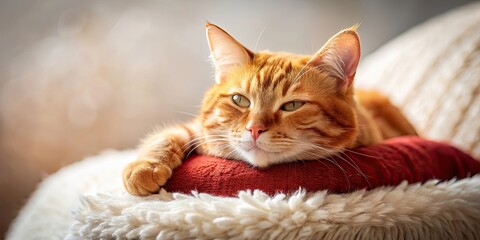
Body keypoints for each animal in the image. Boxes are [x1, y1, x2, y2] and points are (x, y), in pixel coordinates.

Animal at [123, 22, 416, 196]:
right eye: (240, 100)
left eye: (293, 105)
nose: (254, 129)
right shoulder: (198, 129)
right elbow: (168, 135)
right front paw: (144, 167)